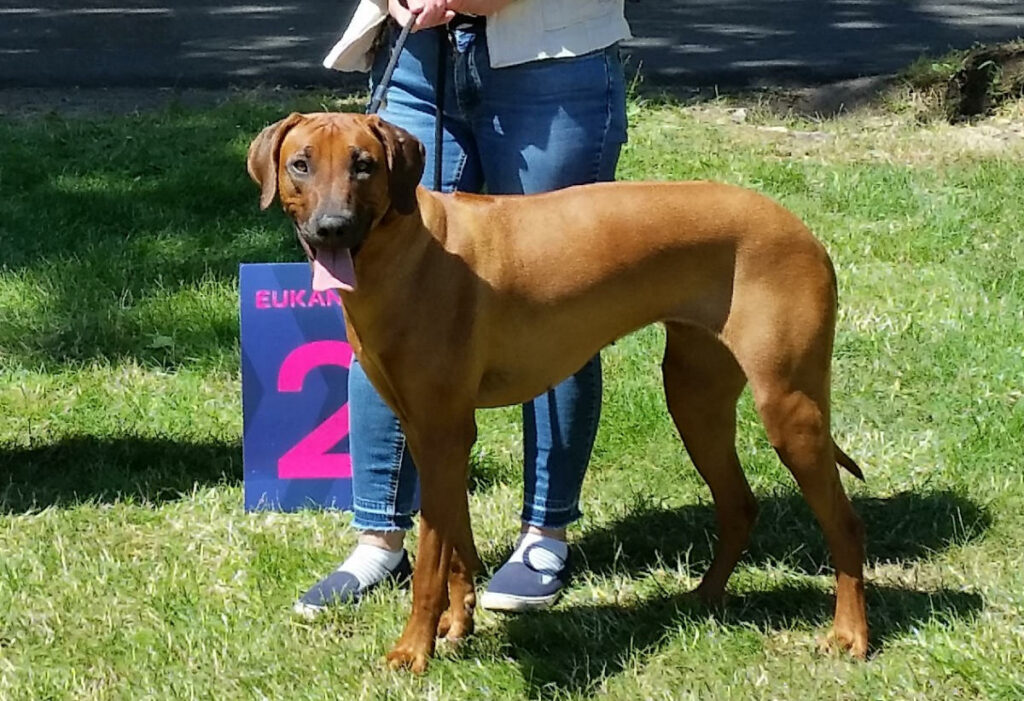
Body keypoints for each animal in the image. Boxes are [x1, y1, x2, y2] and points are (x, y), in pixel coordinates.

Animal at [245, 112, 864, 671]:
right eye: (301, 165)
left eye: (364, 165)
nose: (332, 227)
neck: (407, 251)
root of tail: (801, 229)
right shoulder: (432, 434)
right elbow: (456, 548)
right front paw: (457, 624)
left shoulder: (442, 432)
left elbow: (429, 562)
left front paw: (413, 650)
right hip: (695, 399)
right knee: (739, 504)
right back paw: (704, 599)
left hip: (788, 408)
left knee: (843, 522)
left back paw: (851, 634)